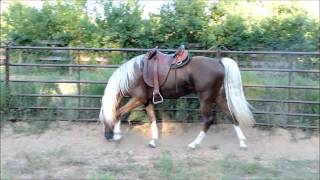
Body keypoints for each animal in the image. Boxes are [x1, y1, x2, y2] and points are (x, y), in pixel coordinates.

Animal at [99, 49, 254, 149]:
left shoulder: (138, 98)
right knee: (231, 116)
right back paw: (242, 142)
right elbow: (153, 118)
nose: (106, 136)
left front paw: (117, 135)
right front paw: (153, 141)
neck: (135, 73)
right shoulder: (147, 100)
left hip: (206, 98)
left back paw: (194, 144)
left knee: (208, 120)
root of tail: (218, 61)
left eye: (103, 120)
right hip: (217, 97)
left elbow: (118, 112)